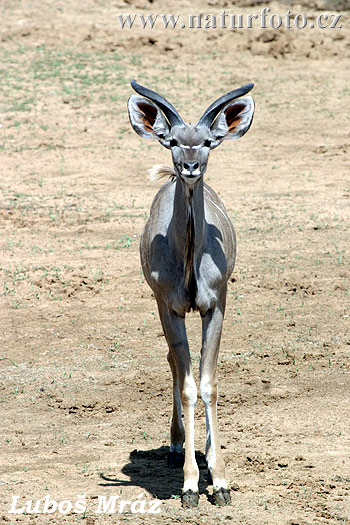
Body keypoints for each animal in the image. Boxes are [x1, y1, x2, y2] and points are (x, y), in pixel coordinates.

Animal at [128, 80, 254, 506]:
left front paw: (221, 480)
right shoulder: (170, 308)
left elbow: (208, 384)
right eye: (171, 140)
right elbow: (187, 385)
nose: (189, 167)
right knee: (173, 363)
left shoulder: (215, 305)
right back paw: (174, 445)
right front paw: (189, 485)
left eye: (209, 141)